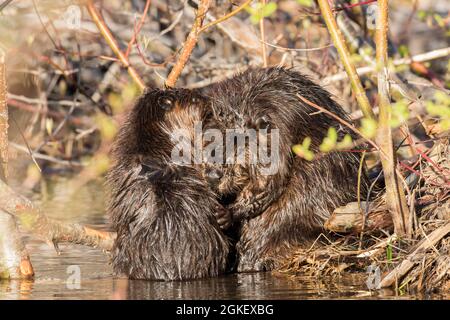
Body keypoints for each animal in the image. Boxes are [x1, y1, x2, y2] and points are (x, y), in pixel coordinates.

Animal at [200, 67, 370, 272]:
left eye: (238, 142)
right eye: (209, 139)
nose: (212, 175)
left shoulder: (281, 135)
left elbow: (269, 182)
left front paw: (225, 214)